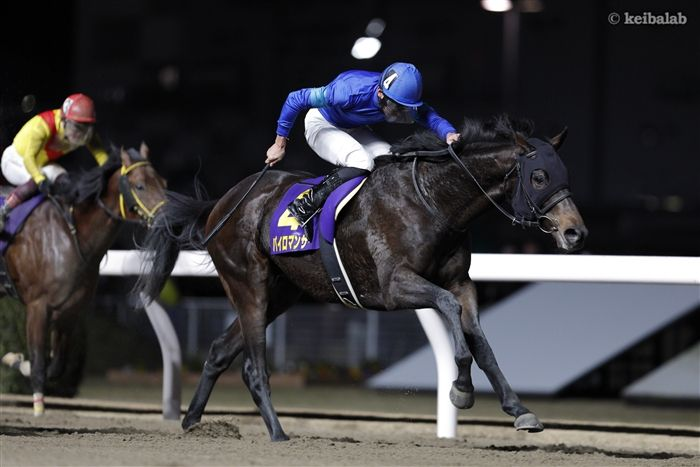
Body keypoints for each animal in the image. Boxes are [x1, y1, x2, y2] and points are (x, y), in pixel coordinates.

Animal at [0, 143, 167, 415]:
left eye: (163, 182)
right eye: (140, 185)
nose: (168, 218)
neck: (70, 234)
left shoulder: (69, 311)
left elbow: (55, 366)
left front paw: (14, 359)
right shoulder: (37, 306)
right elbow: (38, 362)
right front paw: (38, 408)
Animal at [134, 115, 587, 440]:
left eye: (564, 173)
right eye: (539, 176)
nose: (575, 233)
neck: (432, 201)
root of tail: (219, 205)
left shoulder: (462, 282)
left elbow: (480, 340)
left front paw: (519, 410)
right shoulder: (394, 286)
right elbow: (449, 313)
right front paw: (460, 387)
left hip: (282, 293)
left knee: (218, 351)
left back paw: (192, 422)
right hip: (249, 285)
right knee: (252, 365)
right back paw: (278, 434)